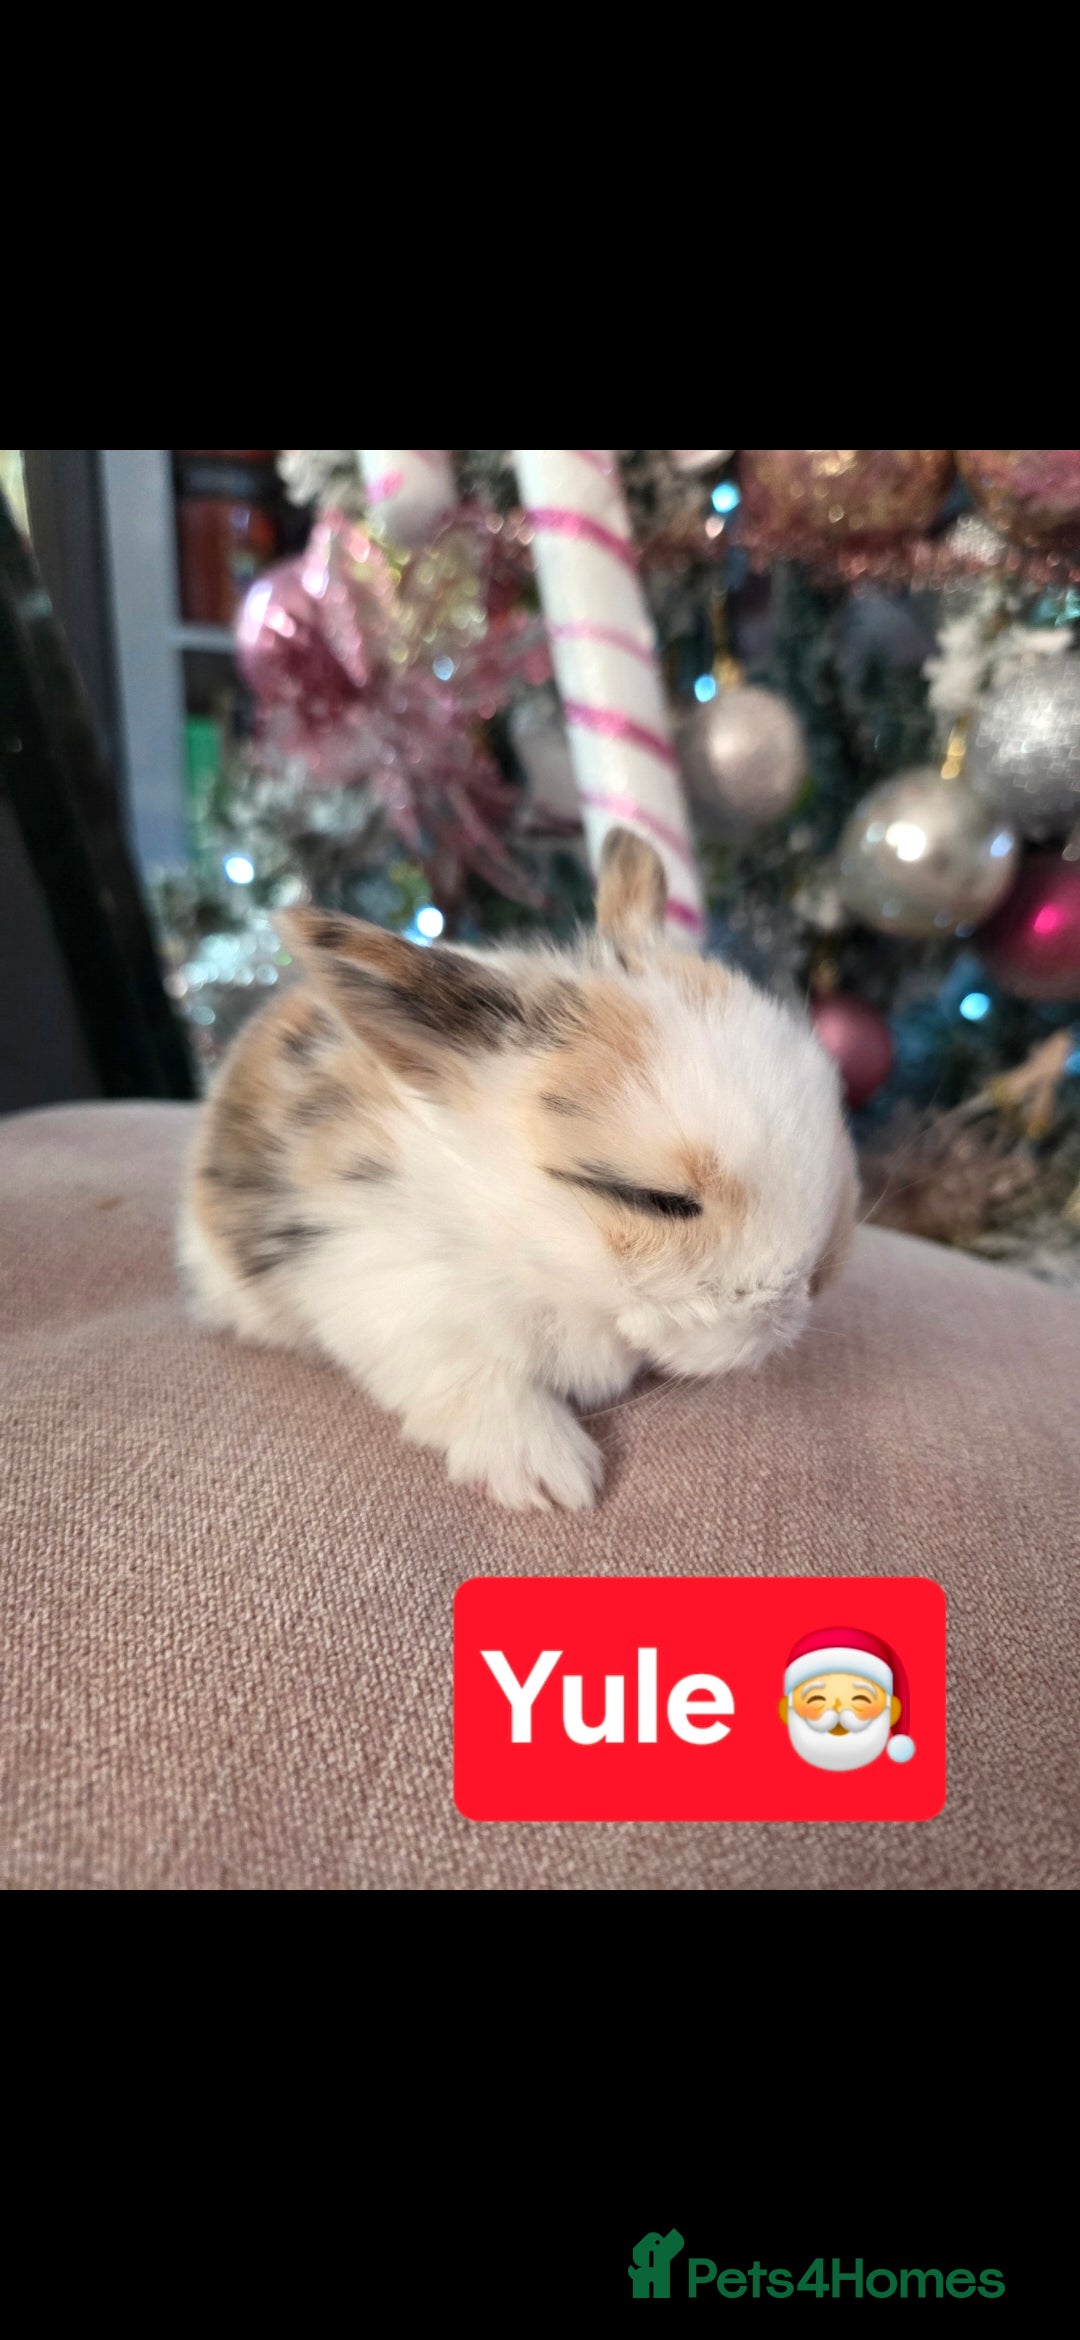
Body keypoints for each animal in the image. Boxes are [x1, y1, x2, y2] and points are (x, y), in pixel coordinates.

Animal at [179, 828, 857, 1511]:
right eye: (652, 1199)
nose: (802, 1297)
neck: (529, 1241)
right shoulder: (390, 1293)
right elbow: (477, 1379)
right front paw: (550, 1479)